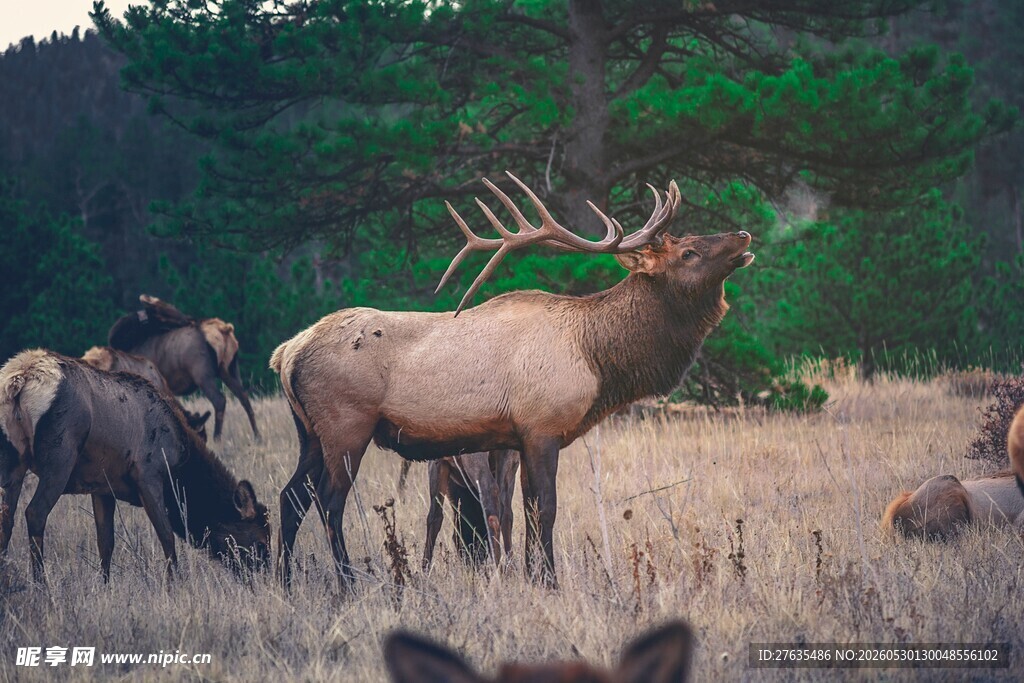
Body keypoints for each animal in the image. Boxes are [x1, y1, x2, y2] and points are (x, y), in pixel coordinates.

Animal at [108, 295, 260, 440]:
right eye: (165, 314)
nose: (190, 320)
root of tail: (225, 330)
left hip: (202, 374)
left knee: (220, 400)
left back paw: (217, 439)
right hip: (230, 369)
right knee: (244, 397)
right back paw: (257, 437)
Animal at [271, 172, 754, 588]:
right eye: (688, 252)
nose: (744, 236)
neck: (597, 358)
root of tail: (287, 353)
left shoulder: (515, 438)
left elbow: (523, 511)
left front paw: (530, 576)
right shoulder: (542, 428)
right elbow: (546, 510)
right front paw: (550, 582)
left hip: (308, 432)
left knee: (290, 497)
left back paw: (284, 581)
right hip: (346, 425)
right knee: (328, 503)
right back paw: (347, 583)